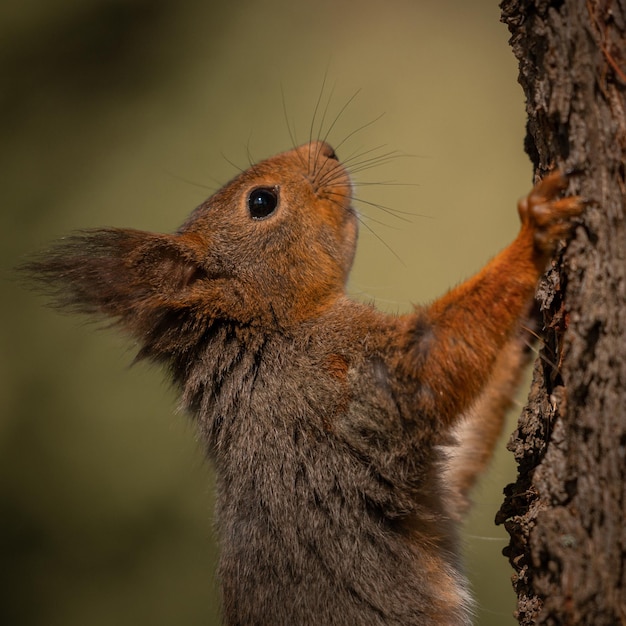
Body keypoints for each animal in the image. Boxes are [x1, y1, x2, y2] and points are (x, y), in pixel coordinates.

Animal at [23, 139, 580, 620]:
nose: (325, 149)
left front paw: (531, 318)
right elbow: (433, 364)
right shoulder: (344, 377)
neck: (273, 326)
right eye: (262, 201)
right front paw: (533, 234)